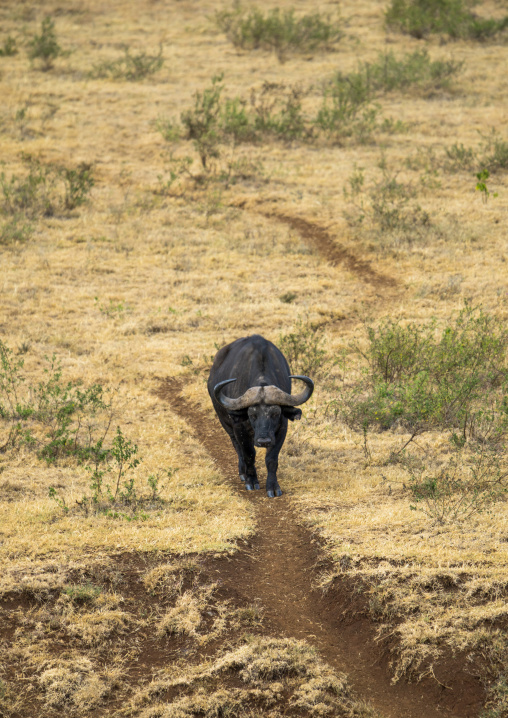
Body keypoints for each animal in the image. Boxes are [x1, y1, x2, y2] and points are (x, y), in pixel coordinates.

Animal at [207, 334, 314, 498]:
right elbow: (249, 453)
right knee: (237, 446)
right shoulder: (240, 428)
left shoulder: (281, 430)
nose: (264, 441)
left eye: (276, 413)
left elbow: (271, 460)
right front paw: (251, 481)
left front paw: (273, 487)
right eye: (252, 414)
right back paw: (242, 472)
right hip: (226, 424)